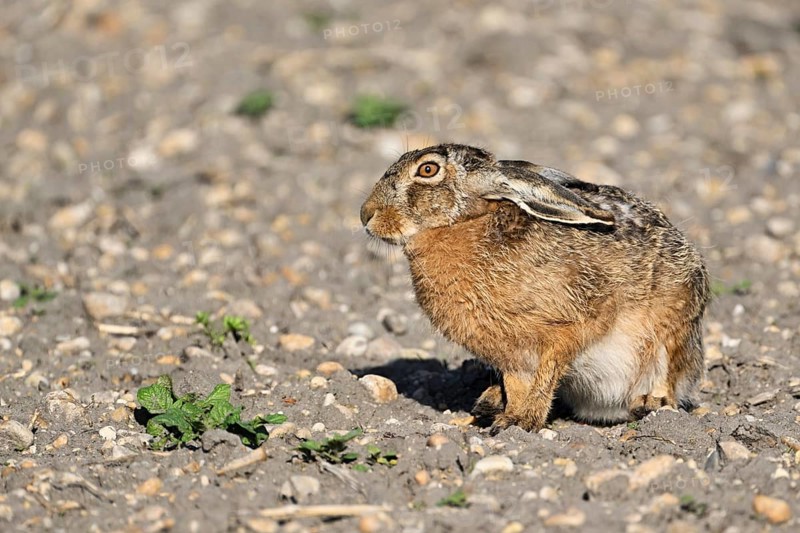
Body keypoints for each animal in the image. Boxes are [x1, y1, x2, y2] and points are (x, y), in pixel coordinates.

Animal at [360, 143, 710, 433]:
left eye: (428, 169)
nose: (365, 214)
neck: (465, 225)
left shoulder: (575, 323)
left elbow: (548, 373)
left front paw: (523, 422)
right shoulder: (510, 354)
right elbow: (517, 384)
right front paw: (511, 417)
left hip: (674, 325)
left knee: (669, 380)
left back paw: (650, 404)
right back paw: (489, 402)